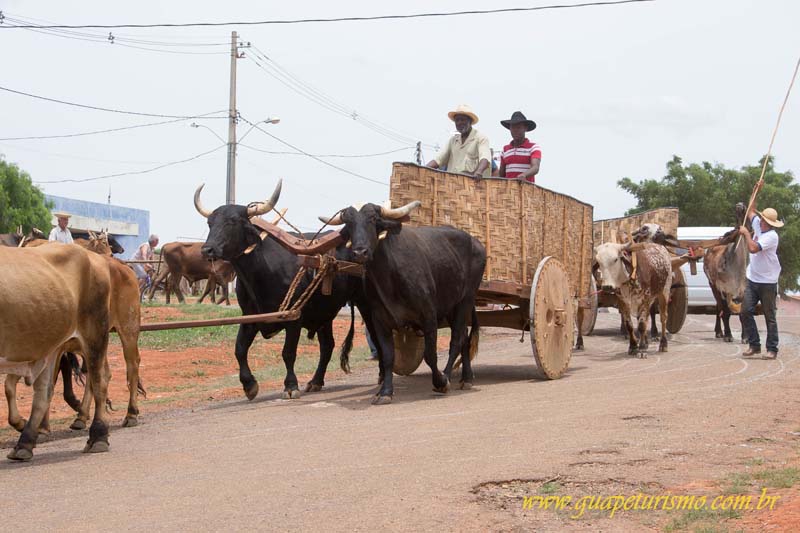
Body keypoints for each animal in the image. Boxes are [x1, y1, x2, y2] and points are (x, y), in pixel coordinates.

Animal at [0, 243, 114, 460]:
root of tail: (93, 257)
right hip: (51, 346)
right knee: (44, 393)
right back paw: (24, 444)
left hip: (95, 334)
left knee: (99, 381)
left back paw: (98, 437)